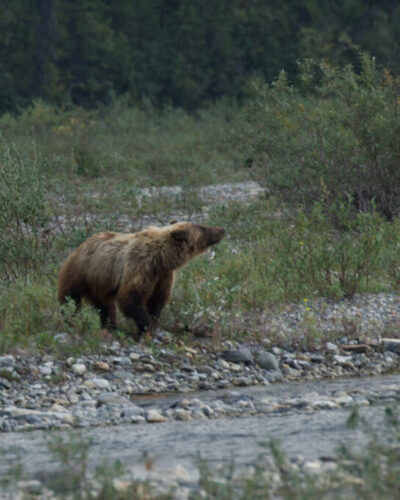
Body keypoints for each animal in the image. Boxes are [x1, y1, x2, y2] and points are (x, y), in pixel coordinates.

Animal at [57, 222, 225, 336]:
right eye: (203, 228)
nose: (222, 229)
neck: (162, 259)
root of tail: (78, 247)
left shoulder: (162, 277)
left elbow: (157, 301)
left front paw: (153, 322)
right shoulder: (141, 266)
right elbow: (130, 297)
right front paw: (146, 326)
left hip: (101, 284)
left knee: (105, 306)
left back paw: (110, 326)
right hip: (81, 273)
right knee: (70, 298)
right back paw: (69, 319)